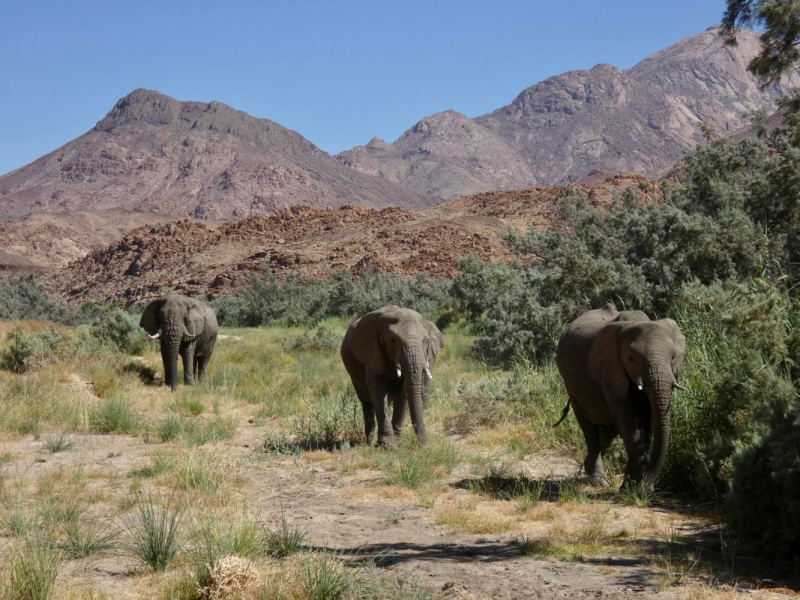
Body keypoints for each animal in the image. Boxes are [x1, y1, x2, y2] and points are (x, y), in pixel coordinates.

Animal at [340, 304, 446, 446]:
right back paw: (369, 442)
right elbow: (378, 391)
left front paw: (398, 442)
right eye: (392, 340)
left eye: (426, 341)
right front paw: (388, 445)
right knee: (367, 401)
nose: (422, 443)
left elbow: (403, 392)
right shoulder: (372, 353)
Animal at [552, 302, 684, 490]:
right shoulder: (612, 369)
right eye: (631, 359)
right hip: (570, 383)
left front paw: (634, 486)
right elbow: (629, 421)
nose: (647, 487)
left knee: (609, 429)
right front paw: (632, 488)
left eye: (672, 358)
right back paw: (599, 480)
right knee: (589, 428)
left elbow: (649, 421)